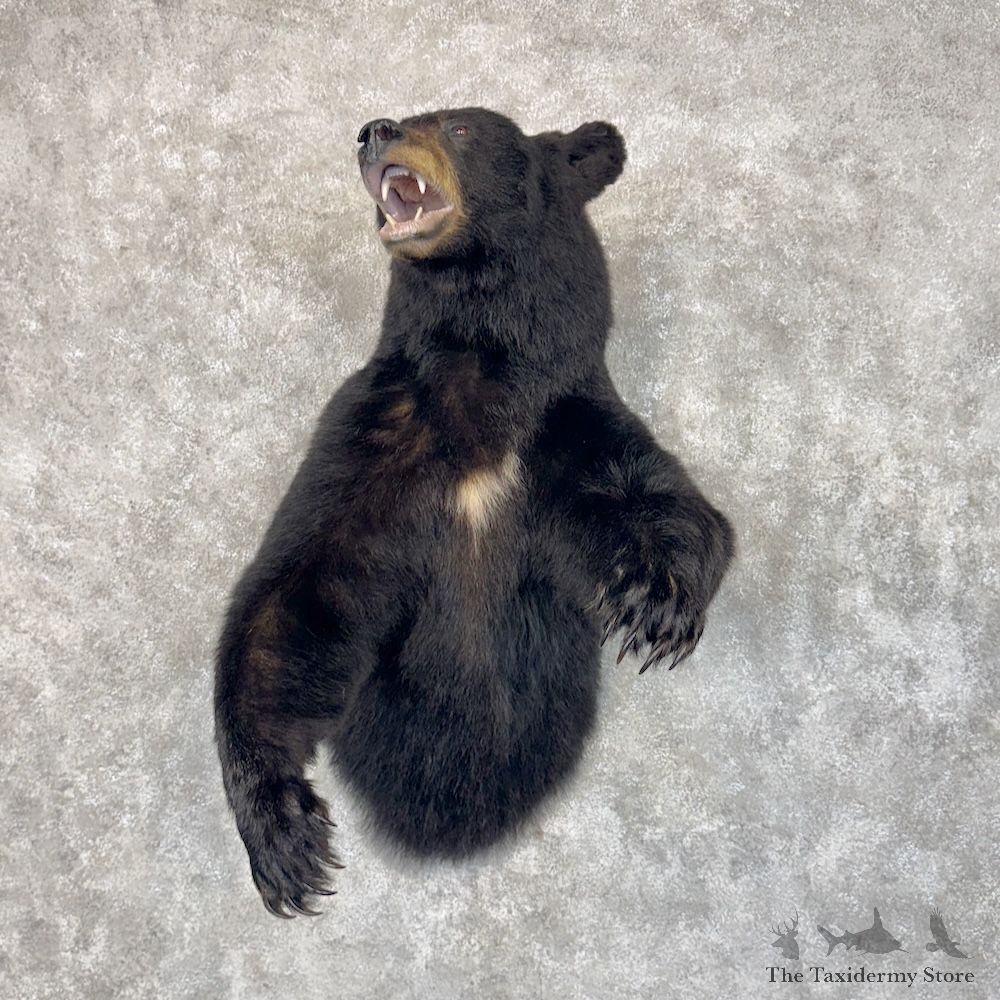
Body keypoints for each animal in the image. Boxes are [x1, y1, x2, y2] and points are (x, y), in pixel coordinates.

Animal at [214, 108, 734, 917]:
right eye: (416, 116)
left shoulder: (563, 424)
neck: (479, 373)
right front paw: (280, 831)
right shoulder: (371, 437)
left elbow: (665, 498)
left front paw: (656, 602)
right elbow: (297, 590)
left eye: (458, 126)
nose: (374, 130)